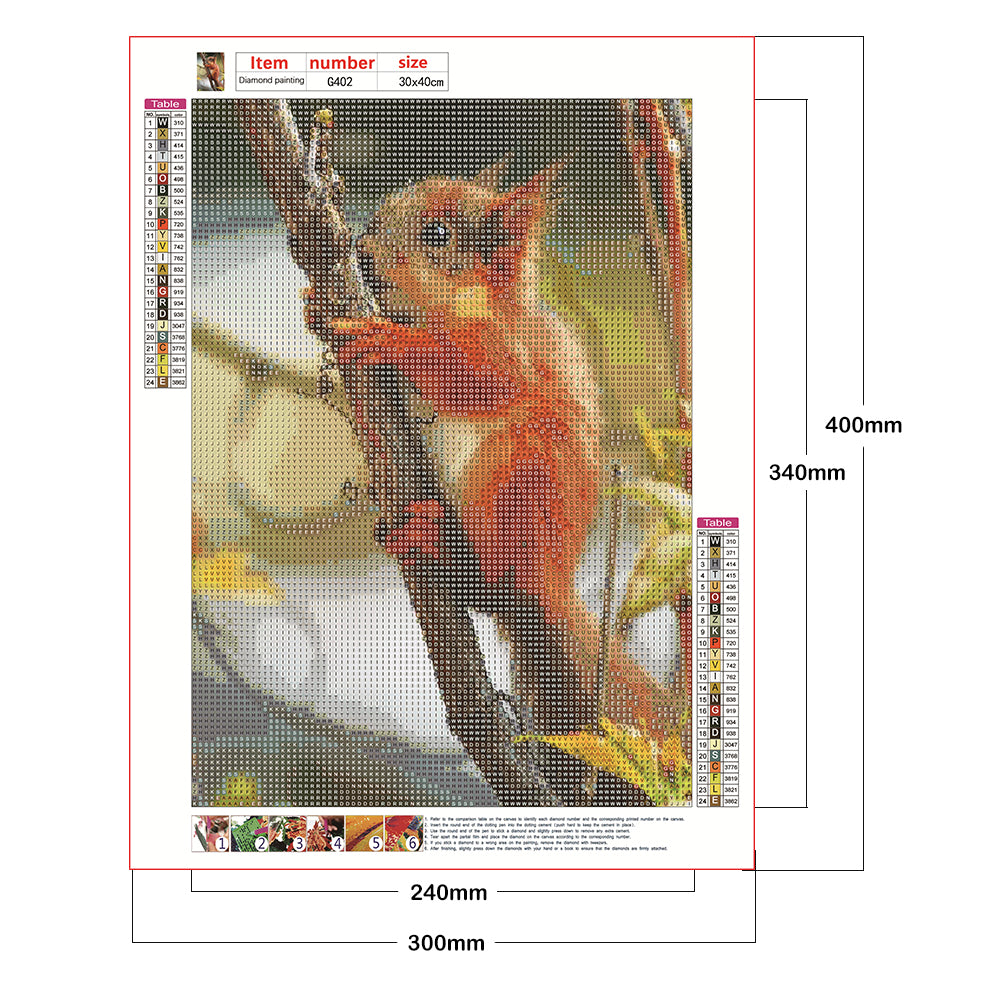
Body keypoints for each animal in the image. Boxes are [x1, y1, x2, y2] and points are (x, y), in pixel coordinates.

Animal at [307, 158, 671, 773]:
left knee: (495, 582)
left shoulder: (508, 348)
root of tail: (555, 578)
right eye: (378, 215)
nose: (359, 248)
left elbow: (480, 374)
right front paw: (315, 304)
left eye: (436, 235)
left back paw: (446, 549)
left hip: (517, 476)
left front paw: (387, 338)